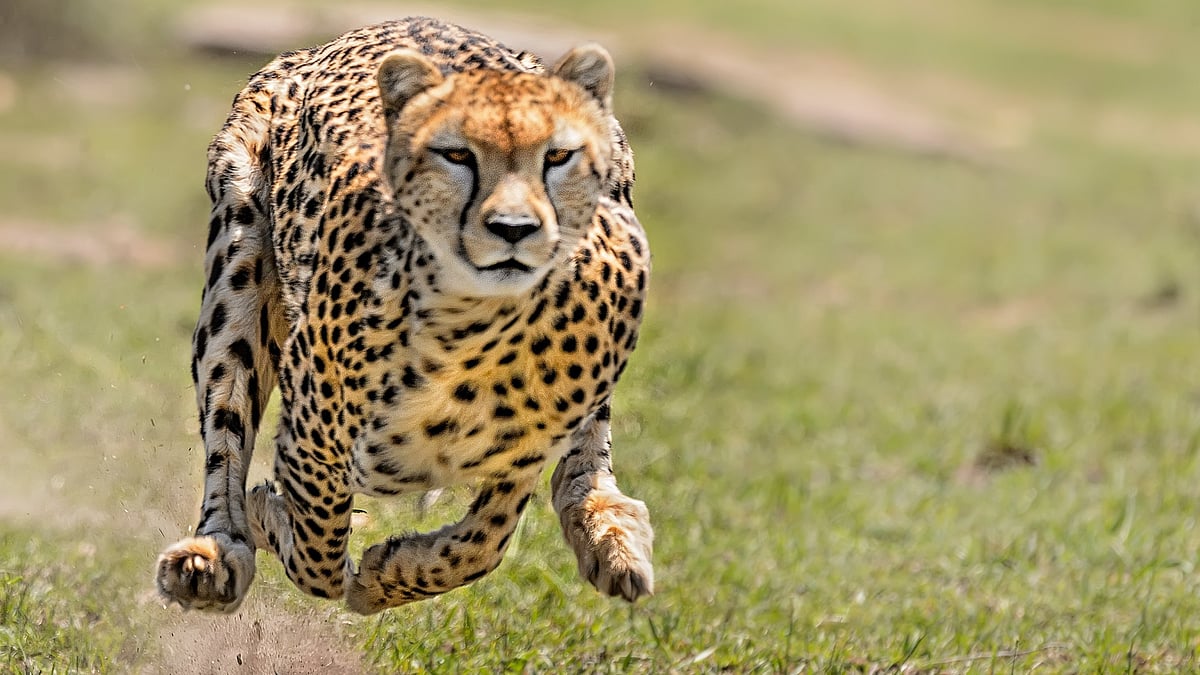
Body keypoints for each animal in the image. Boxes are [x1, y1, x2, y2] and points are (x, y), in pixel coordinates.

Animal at [154, 16, 653, 615]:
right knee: (226, 425)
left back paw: (609, 533)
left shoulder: (525, 452)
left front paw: (386, 574)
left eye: (557, 157)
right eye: (456, 155)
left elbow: (483, 543)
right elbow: (317, 552)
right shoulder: (312, 438)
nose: (513, 228)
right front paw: (276, 521)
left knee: (584, 459)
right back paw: (214, 552)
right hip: (239, 261)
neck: (476, 332)